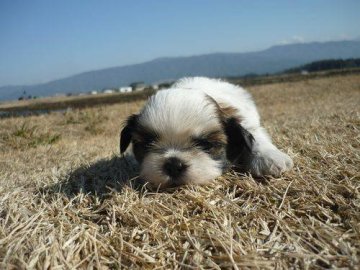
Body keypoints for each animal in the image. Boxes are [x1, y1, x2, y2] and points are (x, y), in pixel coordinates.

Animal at [119, 77, 294, 188]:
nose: (173, 165)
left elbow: (256, 137)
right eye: (147, 144)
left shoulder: (248, 122)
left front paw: (269, 158)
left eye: (206, 145)